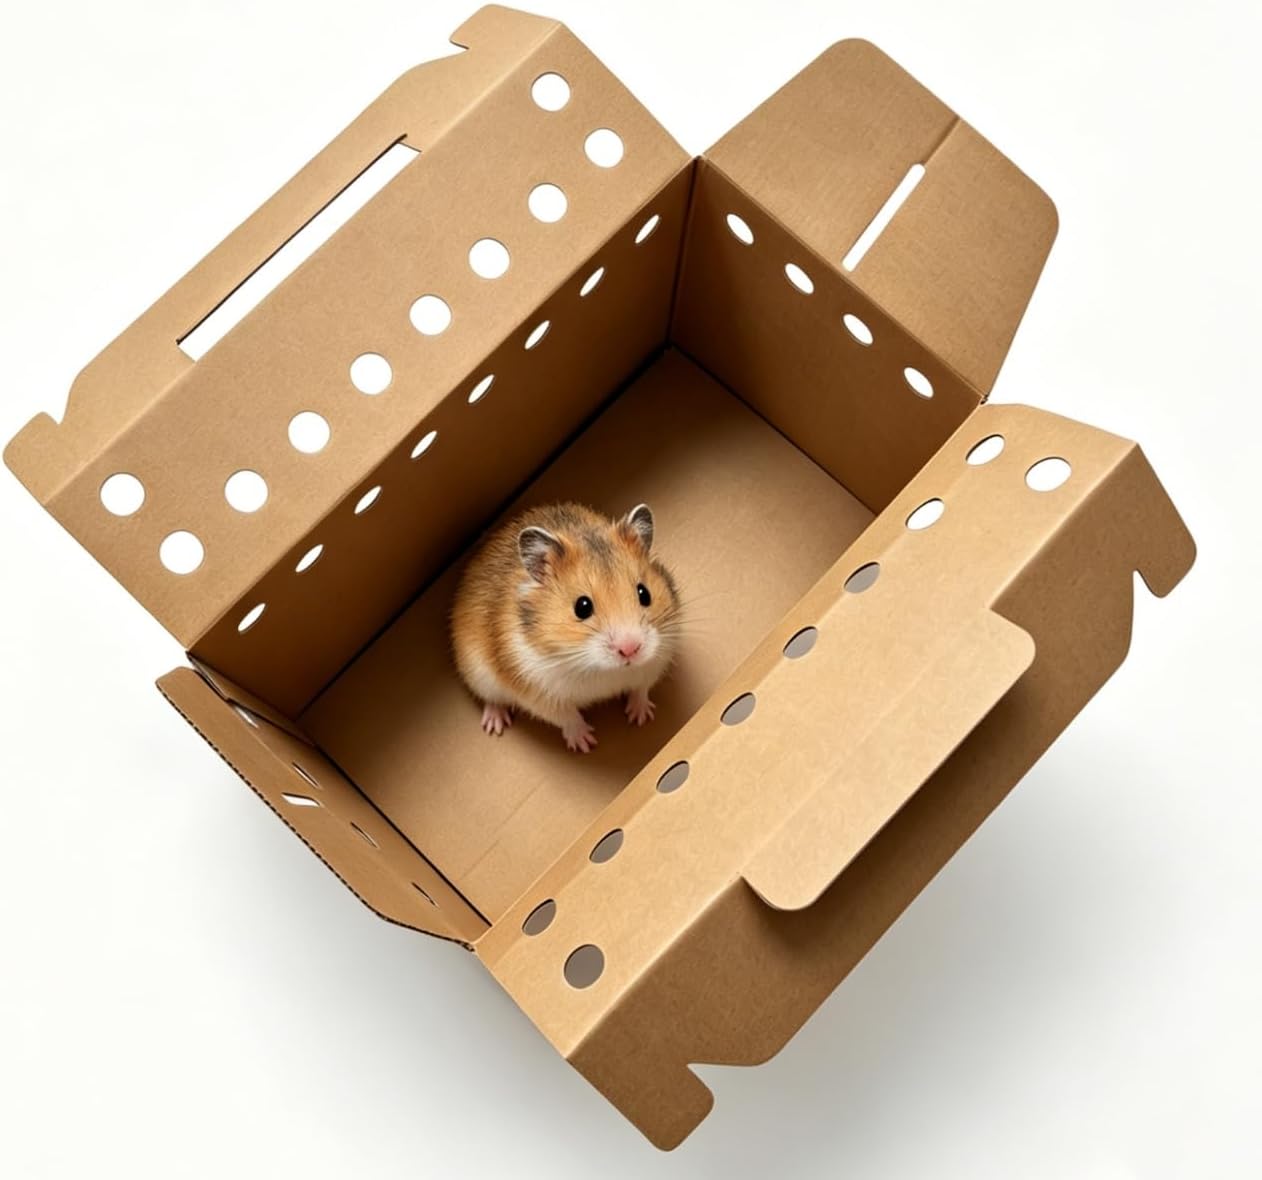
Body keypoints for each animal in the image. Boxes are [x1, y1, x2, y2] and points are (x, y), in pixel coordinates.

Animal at [451, 502, 681, 753]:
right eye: (582, 607)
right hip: (478, 675)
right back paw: (495, 726)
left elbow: (640, 690)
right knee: (491, 700)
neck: (606, 670)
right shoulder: (542, 695)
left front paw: (641, 717)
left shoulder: (655, 663)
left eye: (644, 593)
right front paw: (585, 745)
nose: (630, 650)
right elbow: (568, 717)